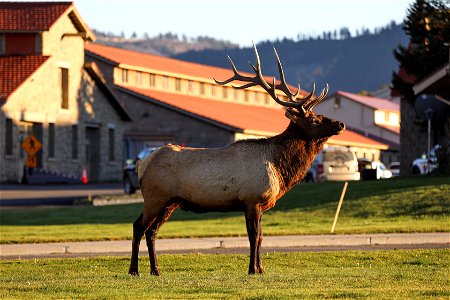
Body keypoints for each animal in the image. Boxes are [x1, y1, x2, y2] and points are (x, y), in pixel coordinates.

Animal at [128, 43, 346, 276]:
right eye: (315, 119)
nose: (340, 124)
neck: (280, 168)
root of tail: (142, 164)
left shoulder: (258, 204)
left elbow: (261, 237)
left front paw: (261, 269)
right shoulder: (252, 199)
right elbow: (254, 236)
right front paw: (252, 269)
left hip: (171, 202)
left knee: (151, 231)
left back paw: (156, 270)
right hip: (155, 196)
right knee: (138, 226)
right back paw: (134, 270)